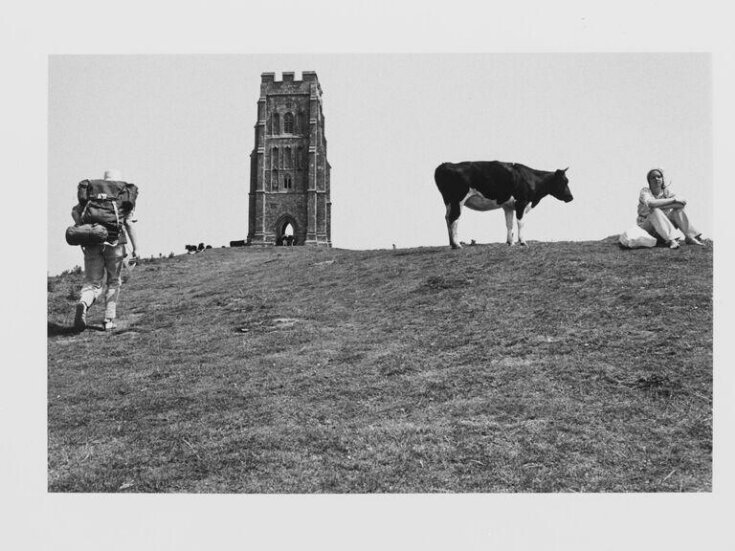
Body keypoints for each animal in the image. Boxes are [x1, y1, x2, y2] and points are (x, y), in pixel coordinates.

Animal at [434, 161, 572, 249]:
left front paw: (510, 243)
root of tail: (446, 165)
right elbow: (520, 223)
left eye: (567, 181)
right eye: (563, 181)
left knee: (447, 218)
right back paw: (457, 245)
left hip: (449, 202)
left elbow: (509, 224)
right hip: (458, 200)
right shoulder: (521, 203)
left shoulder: (508, 206)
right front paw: (523, 242)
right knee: (454, 219)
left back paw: (451, 243)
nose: (571, 197)